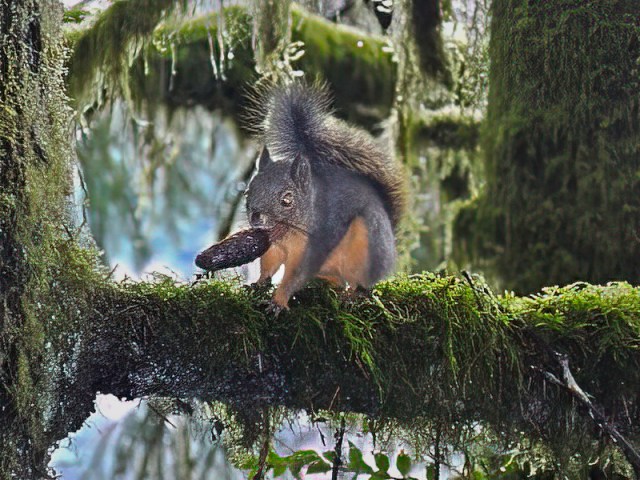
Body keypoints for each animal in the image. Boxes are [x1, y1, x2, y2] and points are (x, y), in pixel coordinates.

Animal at [242, 80, 408, 310]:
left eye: (287, 199)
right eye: (248, 191)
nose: (256, 218)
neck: (288, 233)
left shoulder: (316, 247)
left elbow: (295, 277)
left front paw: (278, 301)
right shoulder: (274, 248)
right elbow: (269, 266)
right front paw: (258, 284)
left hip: (366, 247)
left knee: (362, 282)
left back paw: (355, 294)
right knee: (338, 281)